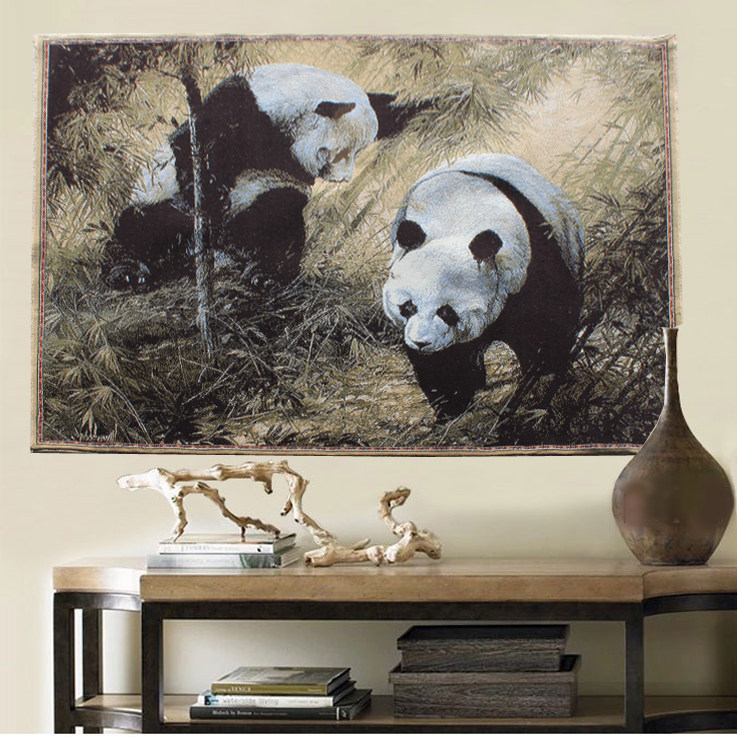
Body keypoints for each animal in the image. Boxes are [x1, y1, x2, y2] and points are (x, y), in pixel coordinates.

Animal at [102, 63, 381, 291]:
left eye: (358, 152)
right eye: (341, 152)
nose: (345, 179)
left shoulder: (283, 167)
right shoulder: (240, 102)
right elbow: (192, 145)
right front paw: (207, 181)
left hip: (254, 208)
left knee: (275, 224)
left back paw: (264, 274)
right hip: (162, 204)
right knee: (142, 225)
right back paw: (128, 271)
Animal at [382, 154, 584, 419]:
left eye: (446, 311)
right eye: (407, 307)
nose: (421, 343)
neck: (457, 219)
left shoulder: (528, 261)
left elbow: (546, 318)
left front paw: (546, 367)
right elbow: (445, 361)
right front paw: (451, 405)